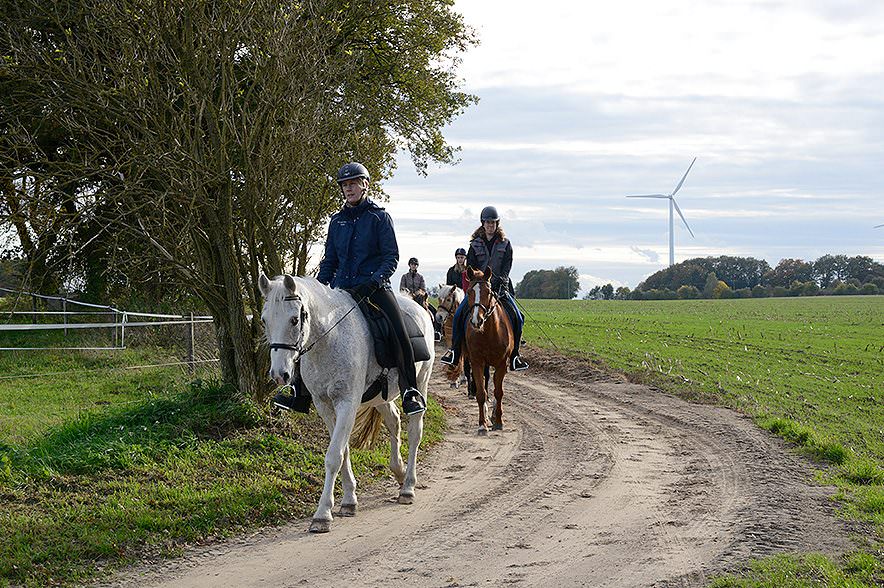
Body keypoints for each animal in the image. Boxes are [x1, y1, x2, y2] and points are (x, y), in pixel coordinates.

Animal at [258, 274, 434, 536]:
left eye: (294, 320)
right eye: (264, 320)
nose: (280, 375)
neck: (329, 340)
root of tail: (417, 306)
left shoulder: (347, 403)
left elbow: (334, 455)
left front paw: (322, 515)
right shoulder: (324, 405)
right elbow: (343, 450)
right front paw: (349, 500)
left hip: (420, 383)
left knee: (414, 432)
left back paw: (408, 487)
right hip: (381, 397)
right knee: (394, 421)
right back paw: (399, 472)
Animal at [460, 268, 516, 434]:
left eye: (489, 292)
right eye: (469, 292)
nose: (476, 321)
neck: (488, 333)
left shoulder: (502, 364)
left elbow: (498, 392)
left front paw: (498, 421)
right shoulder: (477, 362)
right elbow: (481, 393)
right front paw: (482, 424)